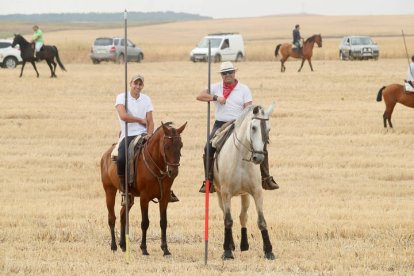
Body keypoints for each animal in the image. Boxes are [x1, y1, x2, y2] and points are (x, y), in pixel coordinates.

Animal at [100, 122, 186, 256]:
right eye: (166, 146)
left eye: (180, 145)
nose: (173, 171)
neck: (156, 165)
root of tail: (106, 155)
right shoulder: (144, 198)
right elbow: (145, 222)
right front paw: (144, 248)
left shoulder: (164, 197)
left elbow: (163, 222)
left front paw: (165, 249)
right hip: (109, 191)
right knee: (111, 218)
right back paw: (113, 246)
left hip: (129, 197)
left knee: (123, 215)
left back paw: (123, 245)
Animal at [212, 104, 276, 260]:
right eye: (253, 127)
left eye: (268, 129)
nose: (259, 158)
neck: (241, 158)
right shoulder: (226, 193)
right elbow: (228, 220)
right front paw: (227, 252)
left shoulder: (257, 192)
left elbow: (261, 221)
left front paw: (269, 251)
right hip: (219, 193)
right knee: (226, 215)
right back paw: (231, 245)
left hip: (245, 194)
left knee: (243, 216)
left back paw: (244, 245)